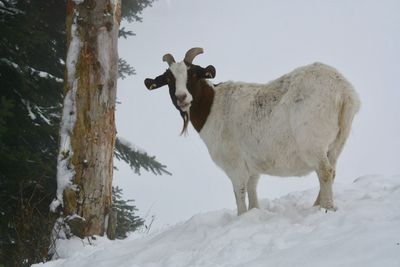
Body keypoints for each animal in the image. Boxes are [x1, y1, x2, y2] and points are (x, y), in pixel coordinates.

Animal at [145, 47, 360, 216]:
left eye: (194, 74)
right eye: (169, 79)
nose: (182, 97)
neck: (213, 106)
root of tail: (344, 91)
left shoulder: (235, 166)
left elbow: (239, 193)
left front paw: (241, 218)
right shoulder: (253, 165)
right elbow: (252, 189)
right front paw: (255, 212)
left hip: (312, 142)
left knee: (325, 171)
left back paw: (326, 208)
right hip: (337, 143)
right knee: (331, 170)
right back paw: (317, 204)